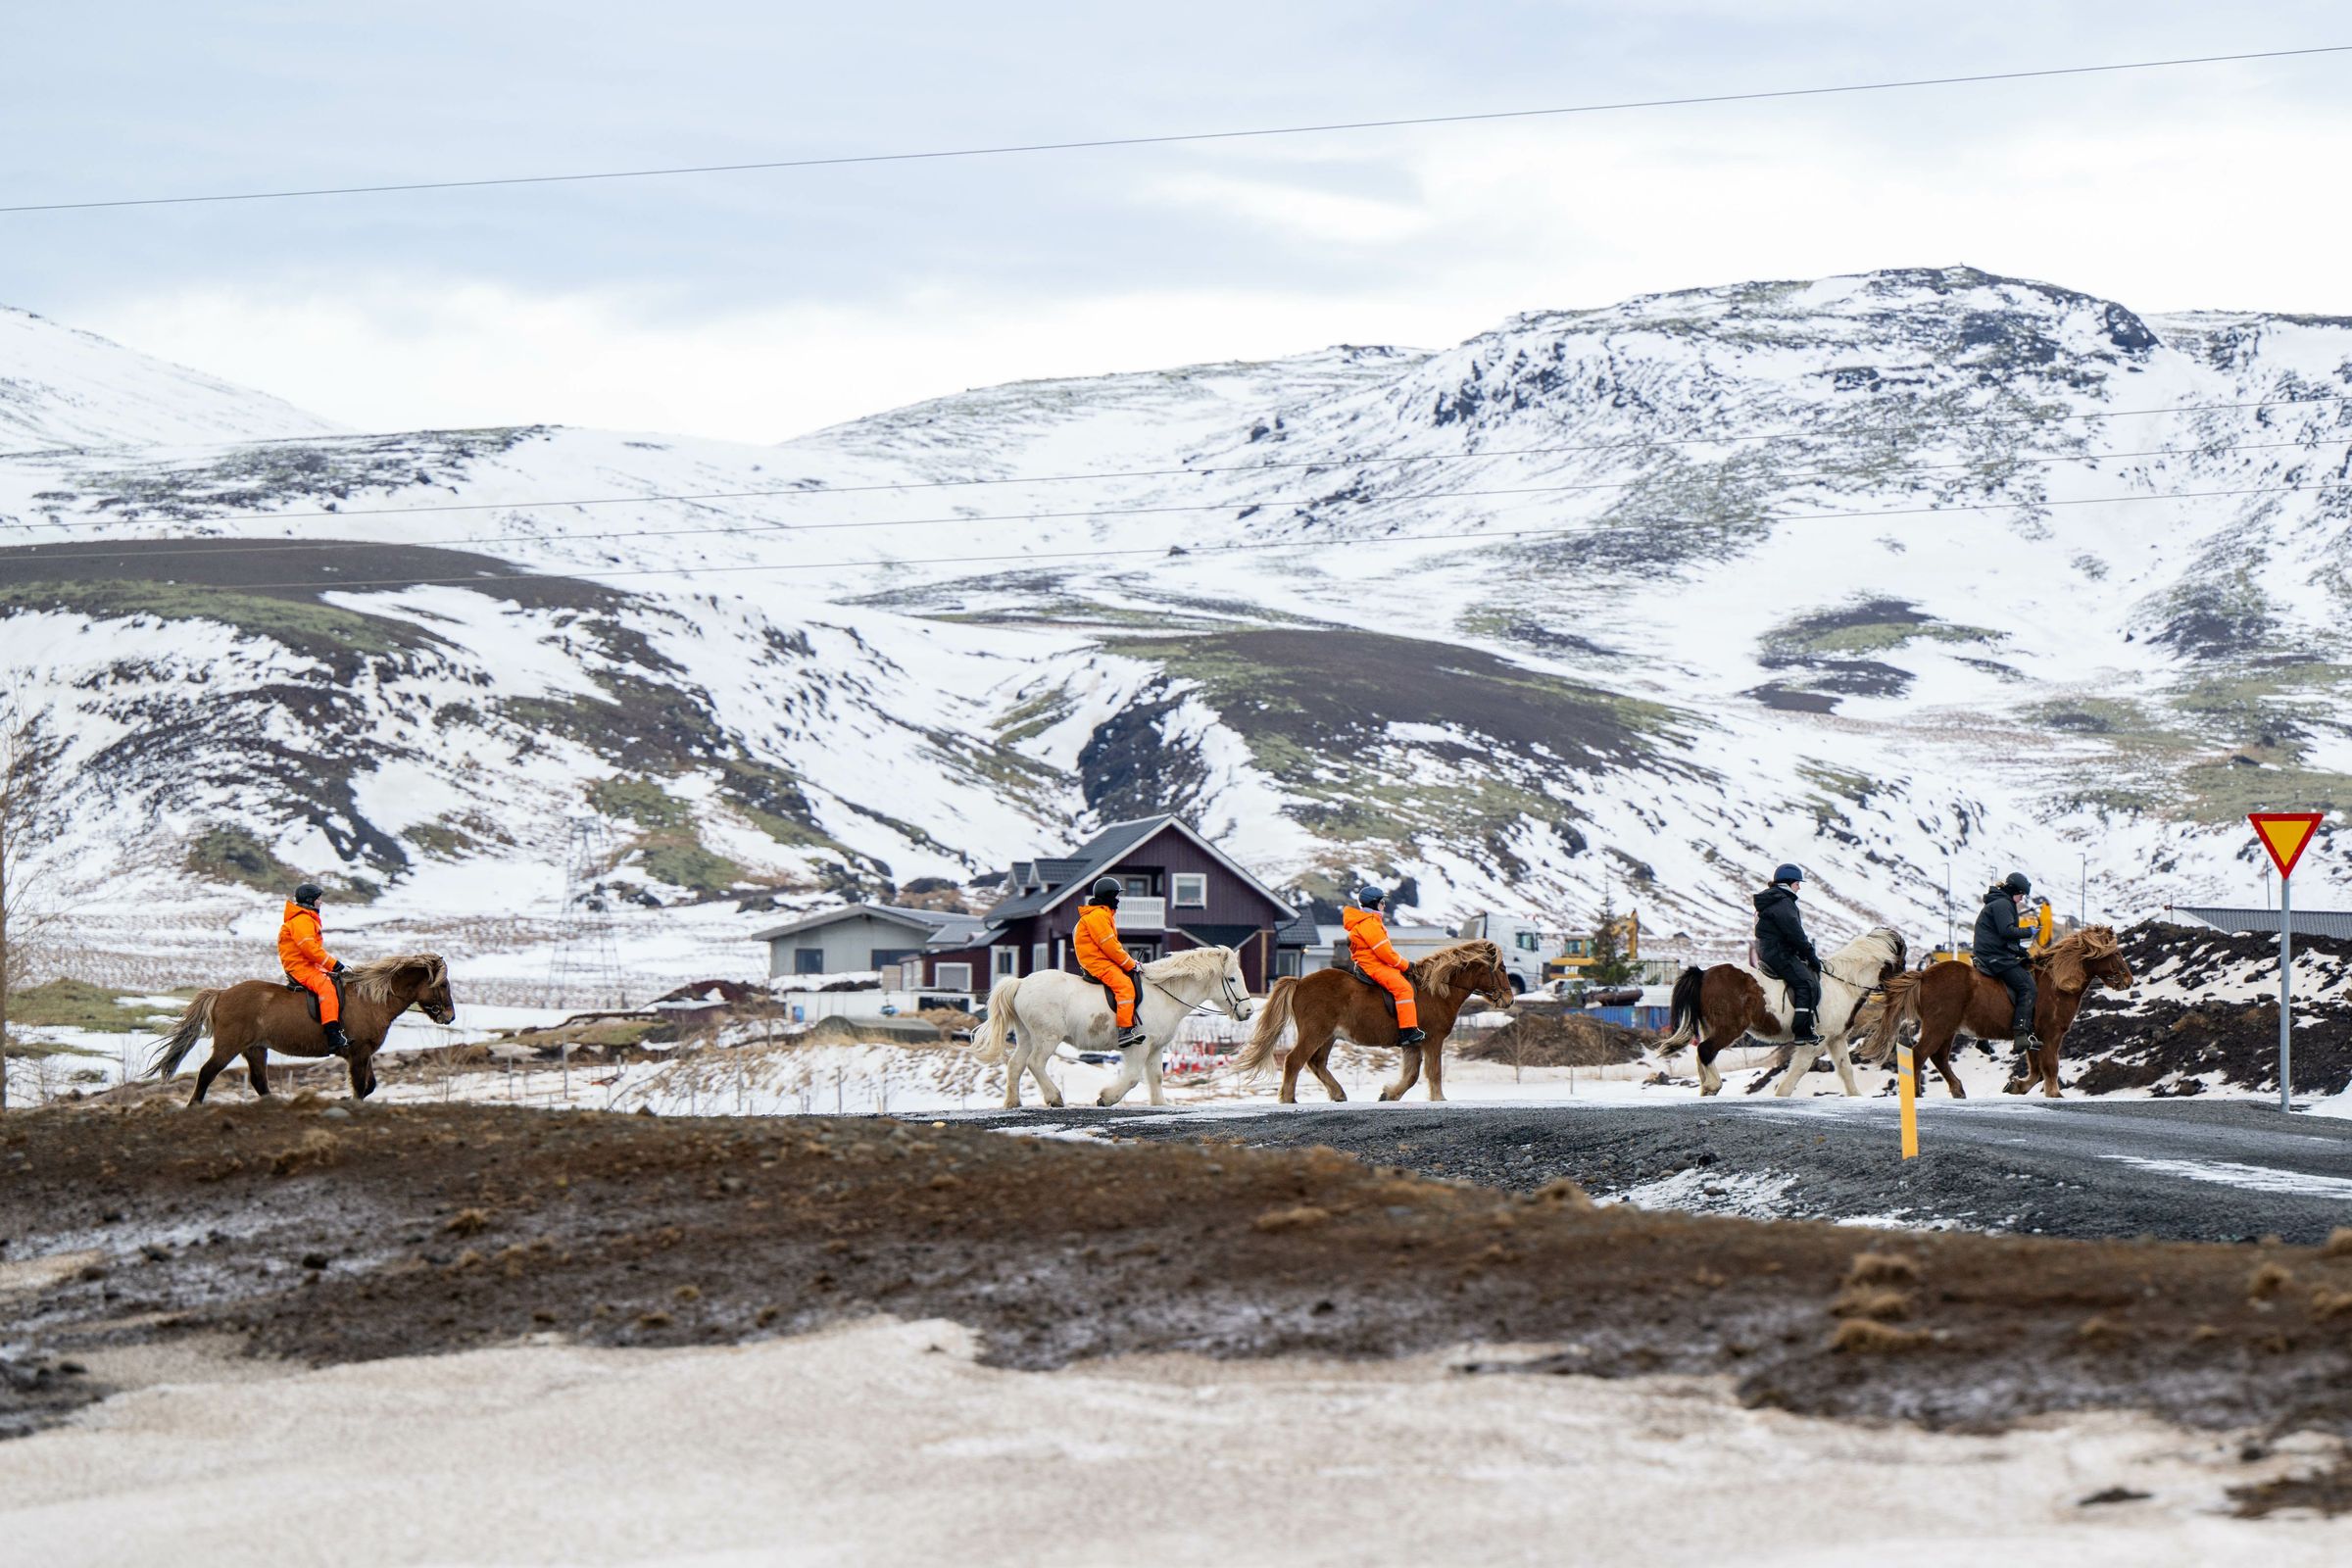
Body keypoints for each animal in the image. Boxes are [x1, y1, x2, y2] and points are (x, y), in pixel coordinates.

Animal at [147, 953, 458, 1106]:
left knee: (259, 1082)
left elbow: (369, 1086)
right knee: (206, 1074)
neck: (371, 999)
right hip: (228, 1046)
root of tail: (221, 993)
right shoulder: (359, 1053)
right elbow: (361, 1088)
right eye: (443, 984)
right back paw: (194, 1106)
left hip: (254, 1049)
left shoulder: (364, 1054)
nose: (450, 1017)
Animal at [972, 945, 1254, 1109]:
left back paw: (1013, 1102)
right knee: (1035, 1063)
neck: (1163, 994)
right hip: (1047, 1037)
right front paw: (1106, 1098)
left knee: (1016, 1065)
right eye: (1231, 979)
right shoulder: (1139, 1046)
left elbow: (1156, 1076)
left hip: (1027, 1036)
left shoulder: (1156, 1048)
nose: (1249, 1011)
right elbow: (1131, 1078)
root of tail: (1021, 983)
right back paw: (1054, 1098)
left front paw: (1160, 1104)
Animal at [1229, 938, 1517, 1104]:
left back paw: (1337, 1093)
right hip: (1315, 1032)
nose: (1509, 1000)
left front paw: (1390, 1094)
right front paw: (1439, 1099)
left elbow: (1411, 1075)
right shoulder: (1433, 1040)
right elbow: (1433, 1072)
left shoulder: (1413, 1044)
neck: (1436, 989)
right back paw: (1288, 1098)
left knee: (1316, 1063)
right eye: (1501, 968)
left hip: (1328, 1036)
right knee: (1294, 1061)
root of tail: (1300, 982)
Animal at [1654, 927, 1908, 1097]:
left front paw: (1856, 1096)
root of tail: (1704, 973)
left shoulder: (1836, 1038)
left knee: (1702, 1054)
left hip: (1711, 1027)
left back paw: (1707, 1089)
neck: (1842, 984)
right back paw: (1712, 1086)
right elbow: (1799, 1069)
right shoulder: (1816, 1040)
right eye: (1903, 960)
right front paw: (1781, 1095)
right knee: (1706, 1051)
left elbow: (1846, 1069)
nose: (1902, 986)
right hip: (1729, 1028)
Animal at [1859, 926, 2131, 1099]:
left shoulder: (2033, 1037)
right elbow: (2050, 1066)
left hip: (1947, 1028)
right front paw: (2055, 1093)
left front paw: (2016, 1086)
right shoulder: (2052, 1034)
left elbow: (2036, 1070)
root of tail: (1924, 976)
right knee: (1919, 1055)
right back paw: (1917, 1094)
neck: (2057, 982)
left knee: (1938, 1058)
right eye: (2117, 953)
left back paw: (1958, 1090)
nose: (2128, 980)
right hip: (1939, 1026)